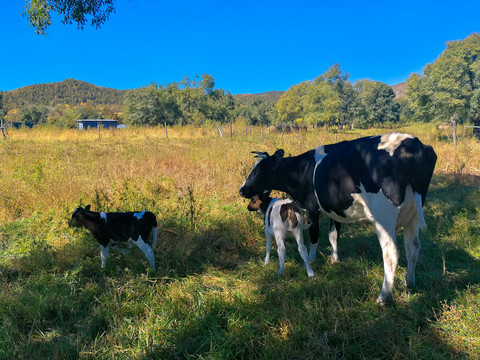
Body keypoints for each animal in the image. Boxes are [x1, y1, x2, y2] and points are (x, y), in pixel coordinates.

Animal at [239, 133, 436, 304]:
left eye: (258, 171)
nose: (241, 190)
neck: (302, 170)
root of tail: (413, 143)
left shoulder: (312, 209)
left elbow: (314, 236)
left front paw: (311, 259)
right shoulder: (335, 209)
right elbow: (333, 235)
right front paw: (334, 258)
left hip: (384, 217)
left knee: (391, 252)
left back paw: (383, 297)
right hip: (412, 216)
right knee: (413, 247)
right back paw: (408, 282)